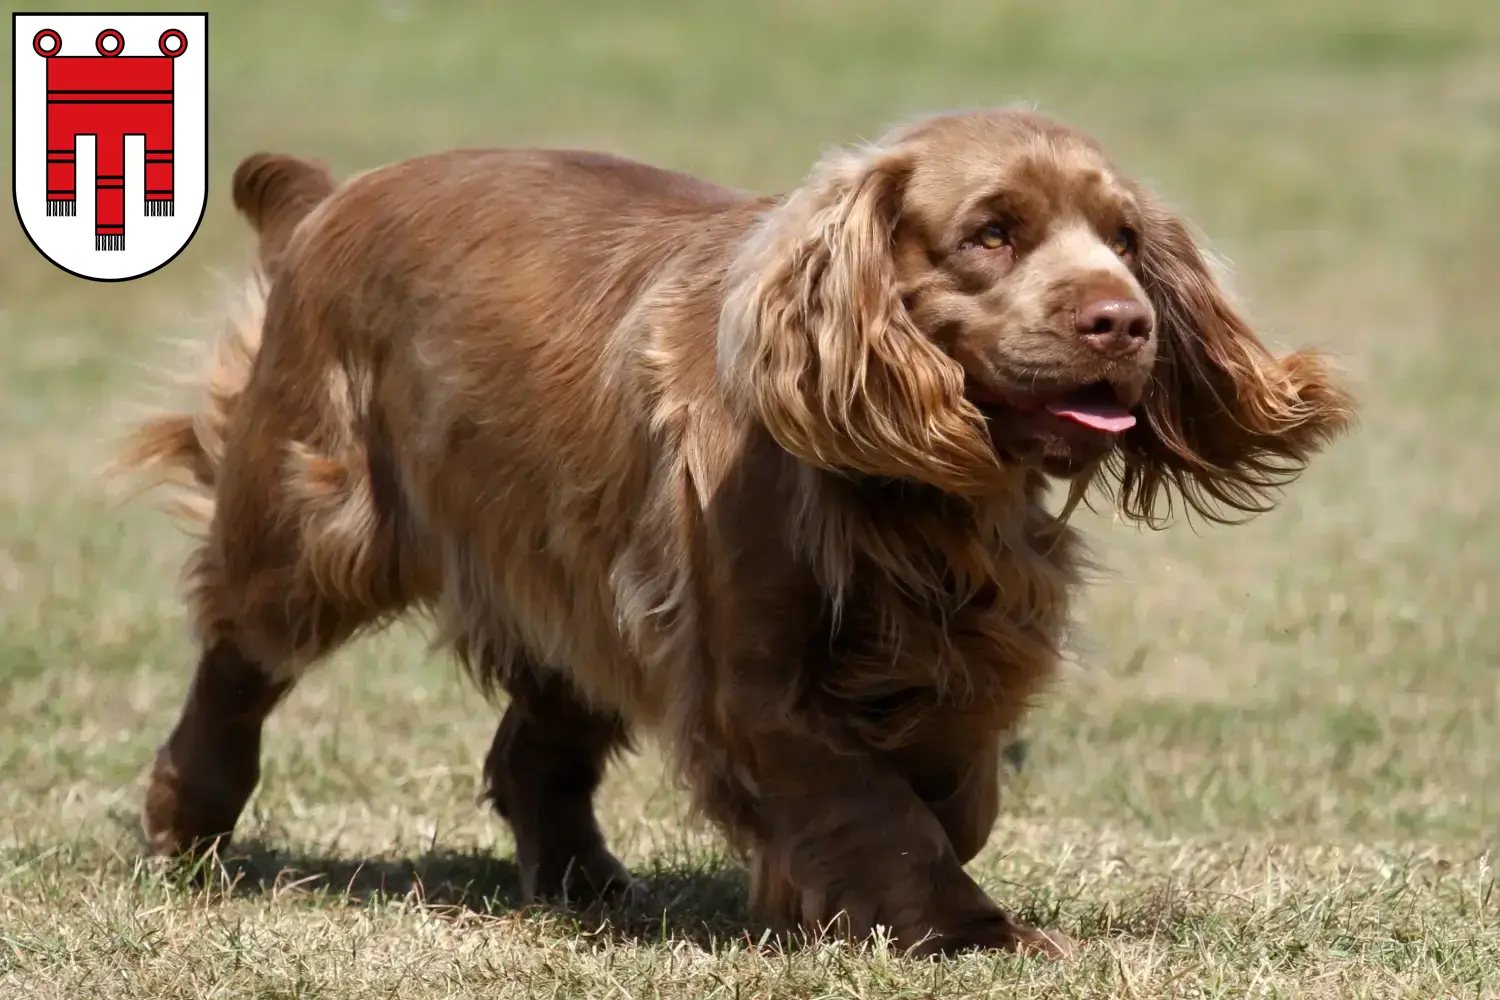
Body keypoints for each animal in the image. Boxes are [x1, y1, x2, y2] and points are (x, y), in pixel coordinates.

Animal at [123, 105, 1356, 959]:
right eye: (991, 234)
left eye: (1125, 236)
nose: (1124, 320)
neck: (909, 483)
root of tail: (329, 200)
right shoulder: (752, 677)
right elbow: (878, 810)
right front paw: (969, 932)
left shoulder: (963, 641)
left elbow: (955, 790)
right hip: (313, 520)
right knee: (239, 656)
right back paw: (186, 818)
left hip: (573, 564)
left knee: (535, 748)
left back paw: (586, 886)